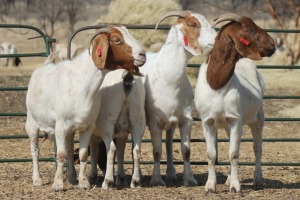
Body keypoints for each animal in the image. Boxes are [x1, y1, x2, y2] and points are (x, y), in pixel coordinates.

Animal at [25, 25, 145, 191]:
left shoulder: (86, 127)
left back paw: (72, 177)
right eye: (116, 39)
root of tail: (45, 66)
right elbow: (61, 154)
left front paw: (83, 182)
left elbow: (82, 154)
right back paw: (37, 180)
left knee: (70, 149)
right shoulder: (61, 126)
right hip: (32, 123)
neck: (81, 82)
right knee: (35, 151)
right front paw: (57, 184)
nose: (142, 55)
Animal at [139, 10, 217, 186]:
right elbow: (156, 151)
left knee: (168, 143)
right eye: (193, 24)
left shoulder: (185, 120)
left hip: (171, 122)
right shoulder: (155, 122)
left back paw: (171, 173)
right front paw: (156, 180)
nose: (217, 39)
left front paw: (189, 179)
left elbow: (186, 151)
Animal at [193, 13, 276, 193]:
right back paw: (229, 178)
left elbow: (234, 153)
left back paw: (257, 179)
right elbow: (211, 154)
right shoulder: (207, 121)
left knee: (257, 148)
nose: (273, 45)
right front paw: (210, 186)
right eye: (250, 30)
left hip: (258, 118)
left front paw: (236, 186)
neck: (216, 83)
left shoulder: (235, 120)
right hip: (226, 125)